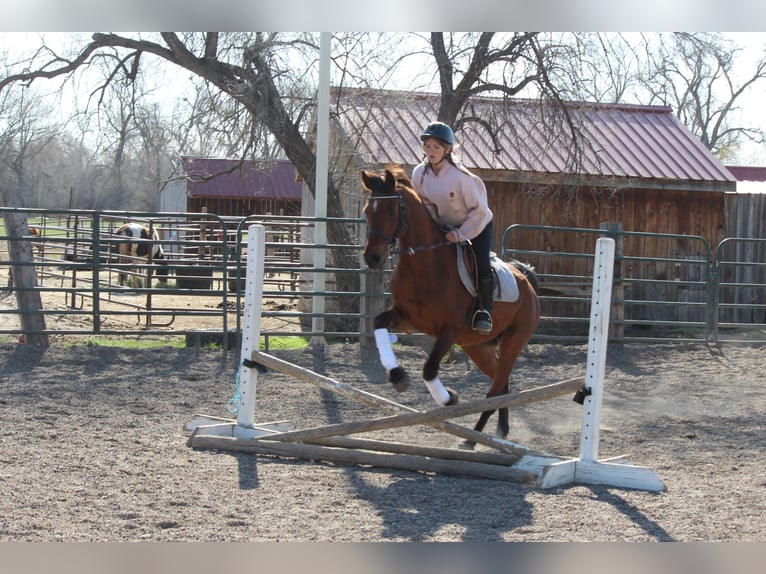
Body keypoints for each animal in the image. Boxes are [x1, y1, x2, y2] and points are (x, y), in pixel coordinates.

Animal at [361, 165, 541, 445]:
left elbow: (428, 369)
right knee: (502, 384)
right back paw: (495, 432)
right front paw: (398, 376)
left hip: (513, 342)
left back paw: (474, 438)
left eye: (390, 210)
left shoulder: (450, 330)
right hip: (478, 348)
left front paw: (449, 398)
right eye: (367, 211)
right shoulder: (405, 317)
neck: (424, 265)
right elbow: (379, 322)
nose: (373, 257)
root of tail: (526, 280)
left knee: (496, 388)